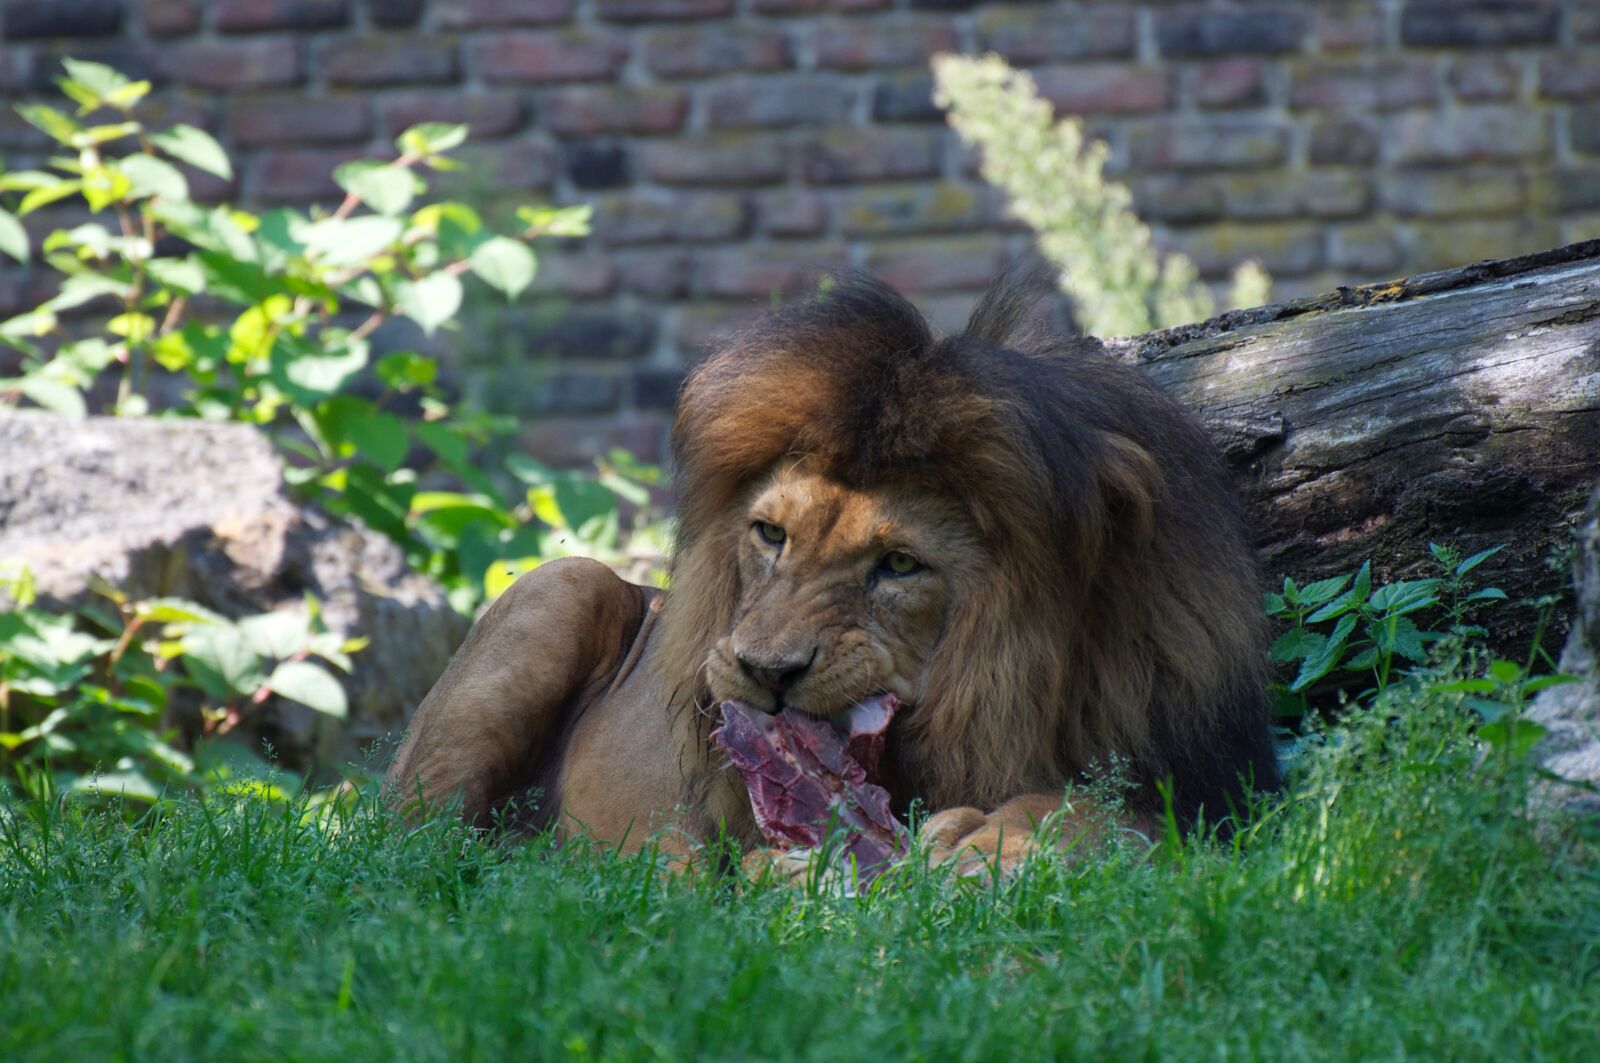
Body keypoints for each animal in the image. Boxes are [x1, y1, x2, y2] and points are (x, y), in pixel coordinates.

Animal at [385, 272, 1281, 875]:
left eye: (900, 565)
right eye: (770, 535)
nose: (763, 671)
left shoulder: (1216, 799)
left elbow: (1105, 812)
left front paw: (991, 844)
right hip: (562, 586)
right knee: (408, 846)